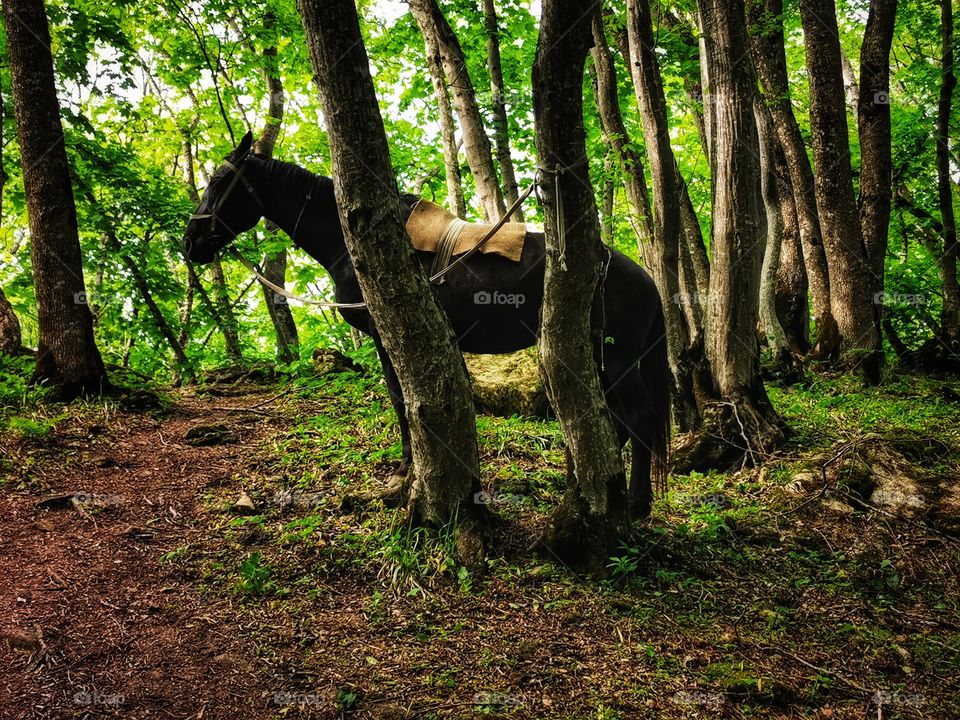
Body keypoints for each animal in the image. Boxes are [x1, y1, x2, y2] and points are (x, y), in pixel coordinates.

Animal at [182, 131, 670, 518]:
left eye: (220, 181)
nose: (190, 243)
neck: (351, 240)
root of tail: (647, 280)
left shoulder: (387, 337)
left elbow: (402, 401)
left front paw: (404, 469)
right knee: (617, 423)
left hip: (618, 359)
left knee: (639, 417)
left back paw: (636, 502)